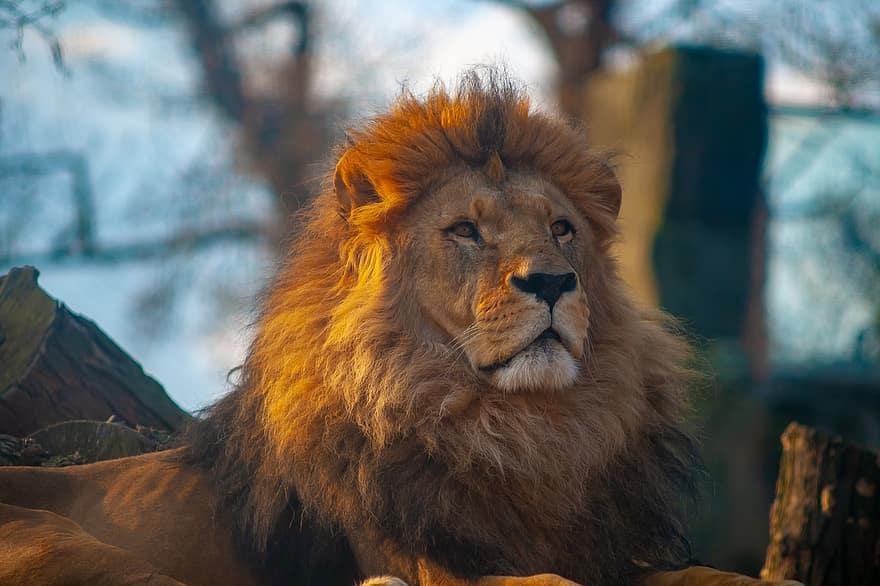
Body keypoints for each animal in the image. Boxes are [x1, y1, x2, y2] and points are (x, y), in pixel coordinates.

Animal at [0, 69, 796, 584]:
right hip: (66, 548)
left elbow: (713, 577)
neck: (528, 433)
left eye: (562, 230)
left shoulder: (615, 553)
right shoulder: (433, 563)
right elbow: (544, 581)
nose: (551, 282)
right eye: (465, 231)